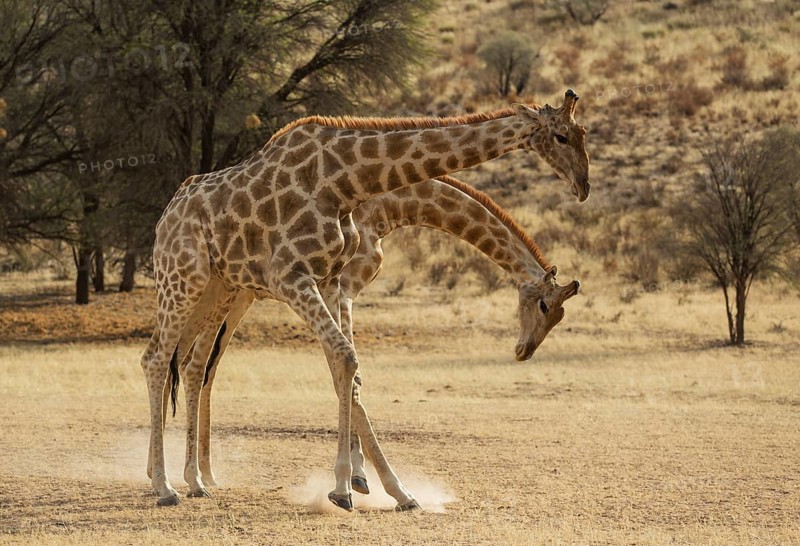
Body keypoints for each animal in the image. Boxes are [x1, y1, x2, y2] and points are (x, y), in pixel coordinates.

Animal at [142, 89, 589, 509]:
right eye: (562, 136)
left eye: (585, 133)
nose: (583, 186)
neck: (352, 186)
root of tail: (167, 213)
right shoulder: (296, 279)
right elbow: (345, 361)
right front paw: (351, 484)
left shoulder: (329, 280)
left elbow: (346, 367)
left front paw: (386, 487)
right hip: (184, 279)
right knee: (159, 359)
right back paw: (166, 485)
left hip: (217, 289)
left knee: (190, 363)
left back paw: (192, 478)